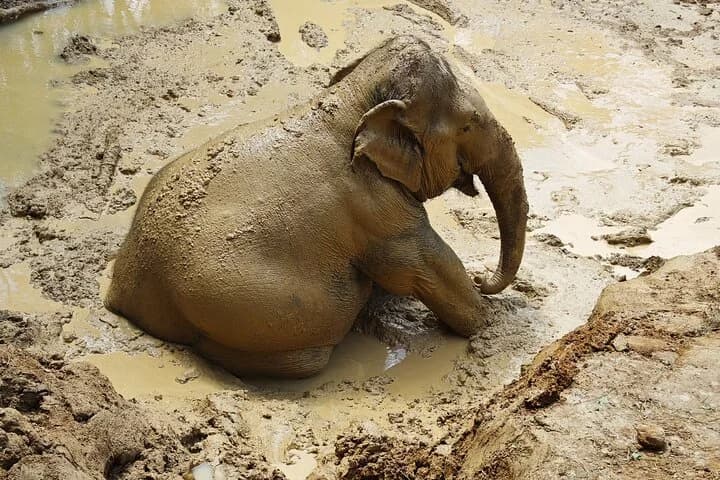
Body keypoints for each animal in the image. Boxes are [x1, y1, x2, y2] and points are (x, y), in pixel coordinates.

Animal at [105, 36, 529, 378]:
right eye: (468, 125)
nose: (482, 276)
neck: (350, 100)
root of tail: (122, 293)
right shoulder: (378, 208)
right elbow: (427, 265)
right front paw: (490, 321)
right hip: (254, 307)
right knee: (314, 343)